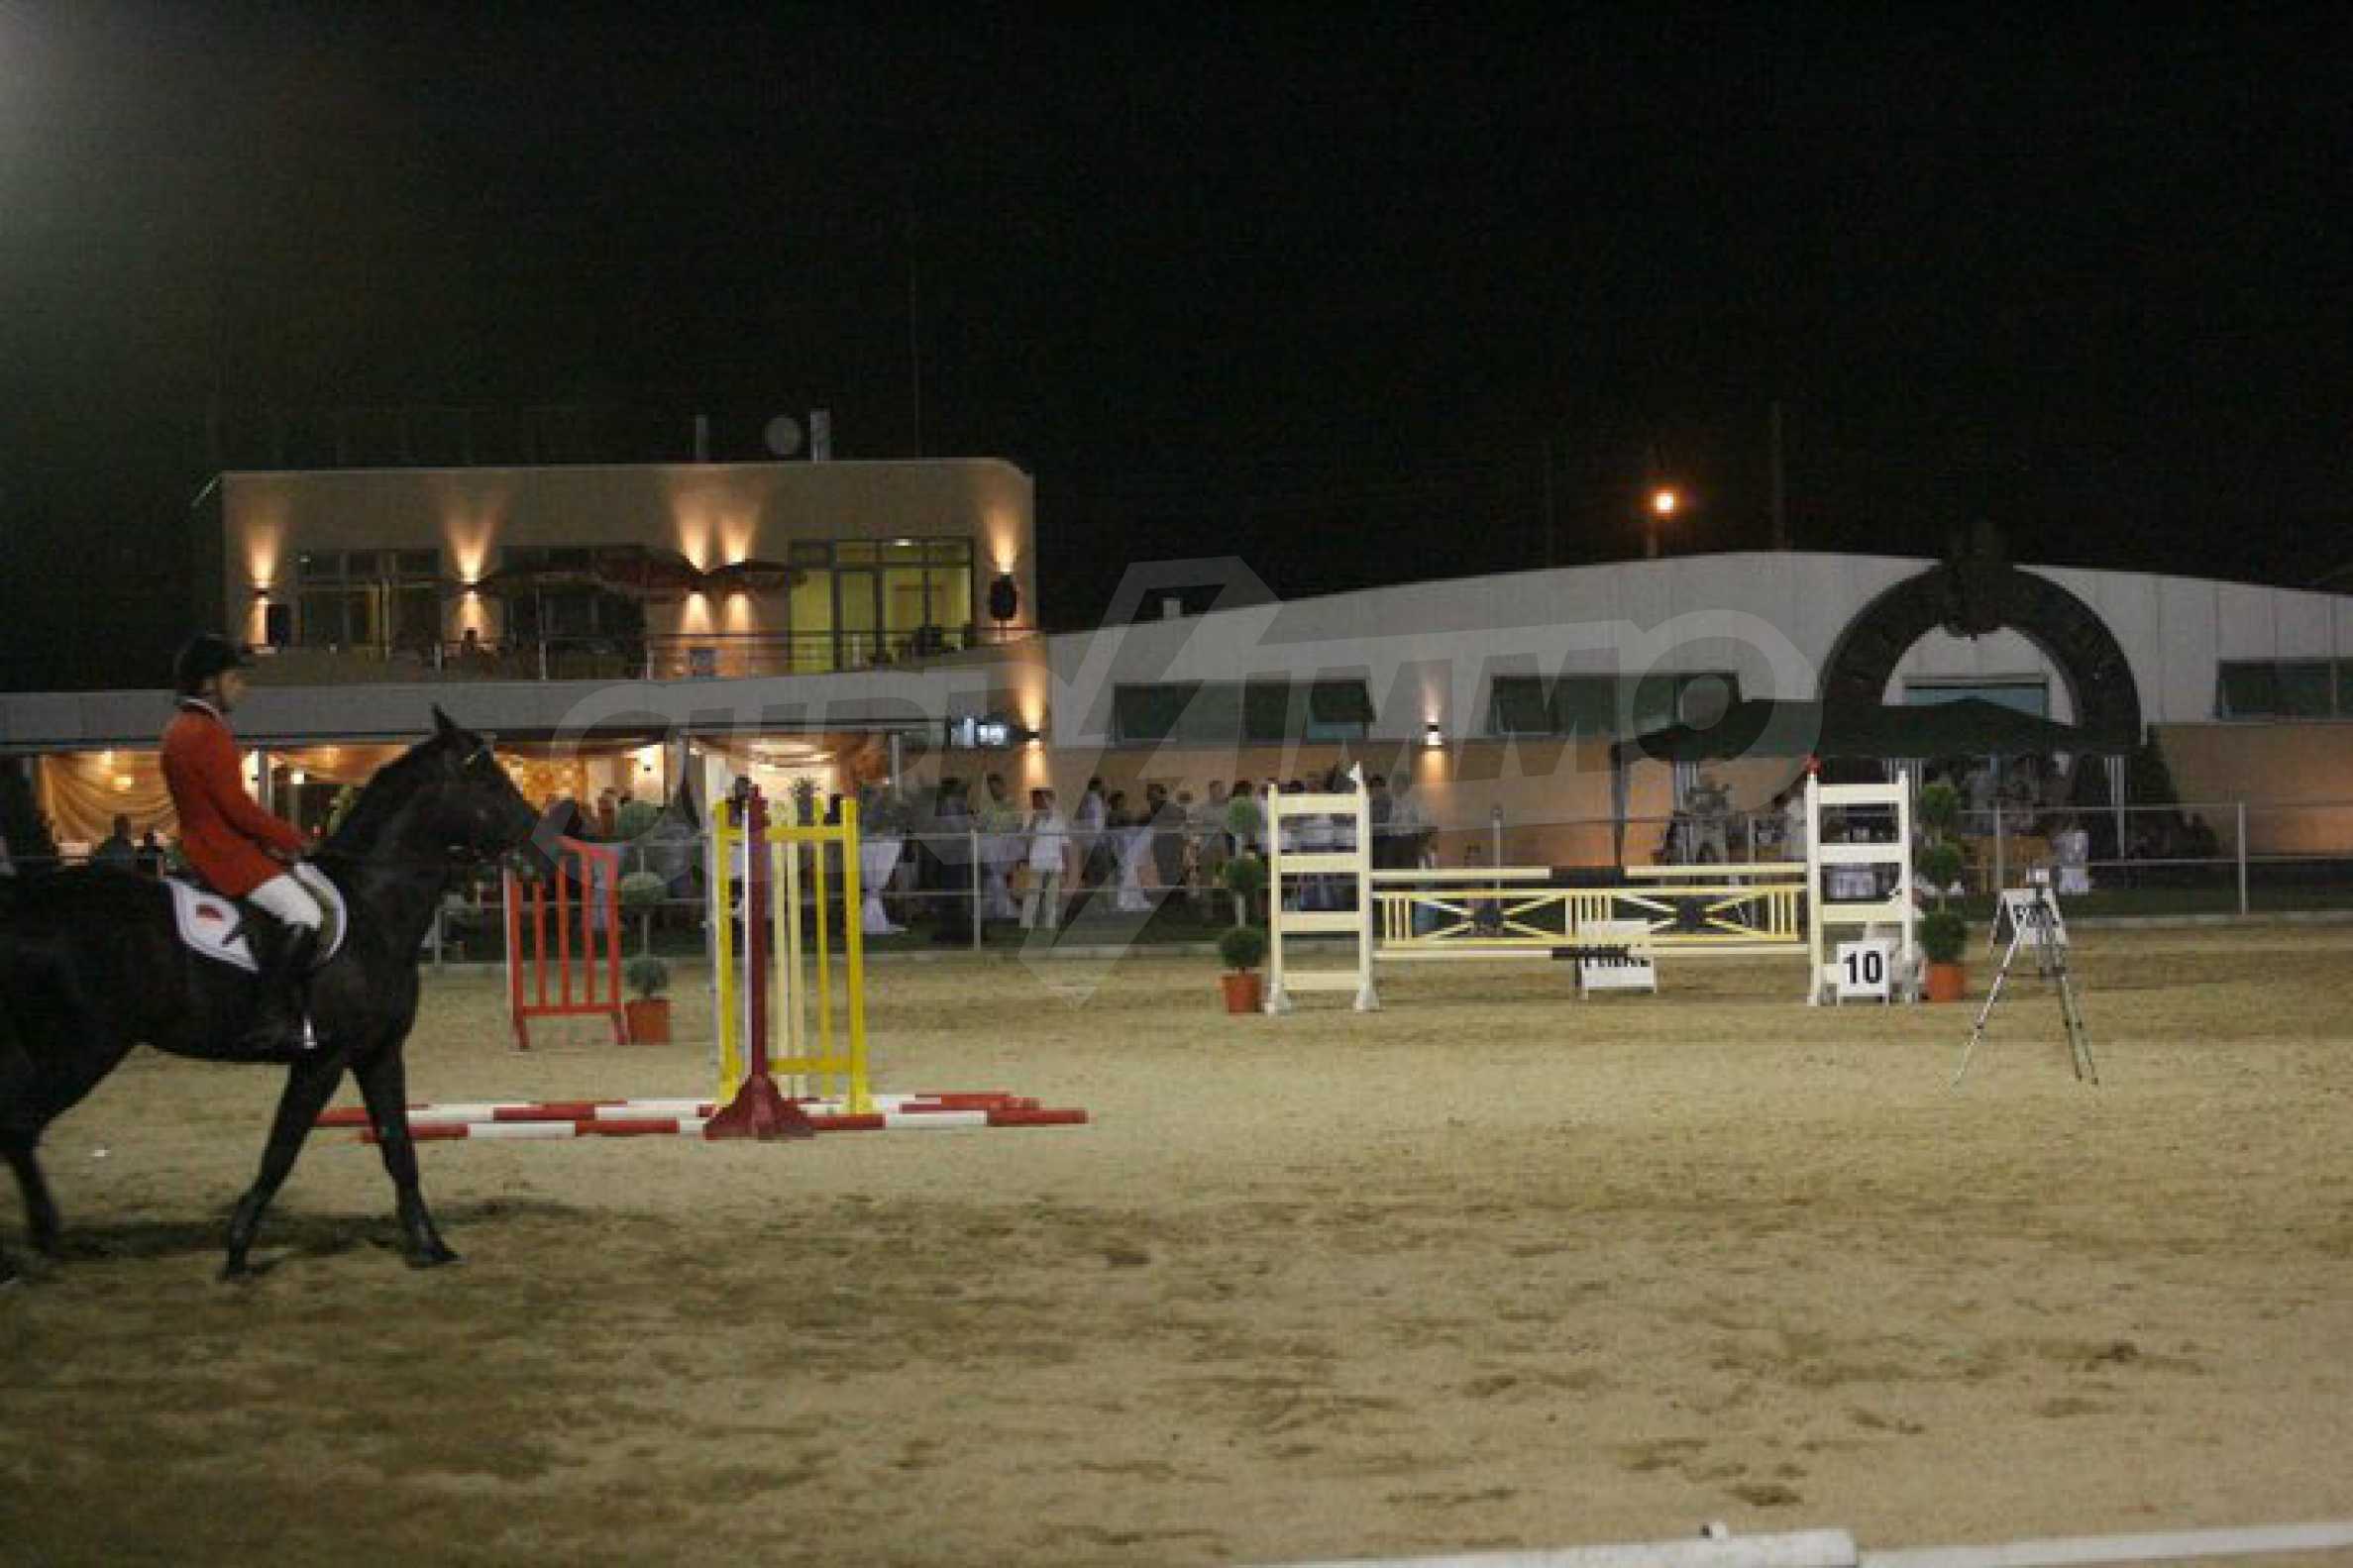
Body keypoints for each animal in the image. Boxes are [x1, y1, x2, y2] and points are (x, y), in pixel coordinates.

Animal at [0, 707, 556, 1283]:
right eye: (490, 782)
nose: (546, 858)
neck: (372, 907)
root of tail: (24, 905)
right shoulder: (324, 1058)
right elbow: (282, 1149)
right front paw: (237, 1249)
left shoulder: (379, 1051)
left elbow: (398, 1145)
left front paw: (429, 1243)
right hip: (81, 1051)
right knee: (17, 1126)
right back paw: (44, 1241)